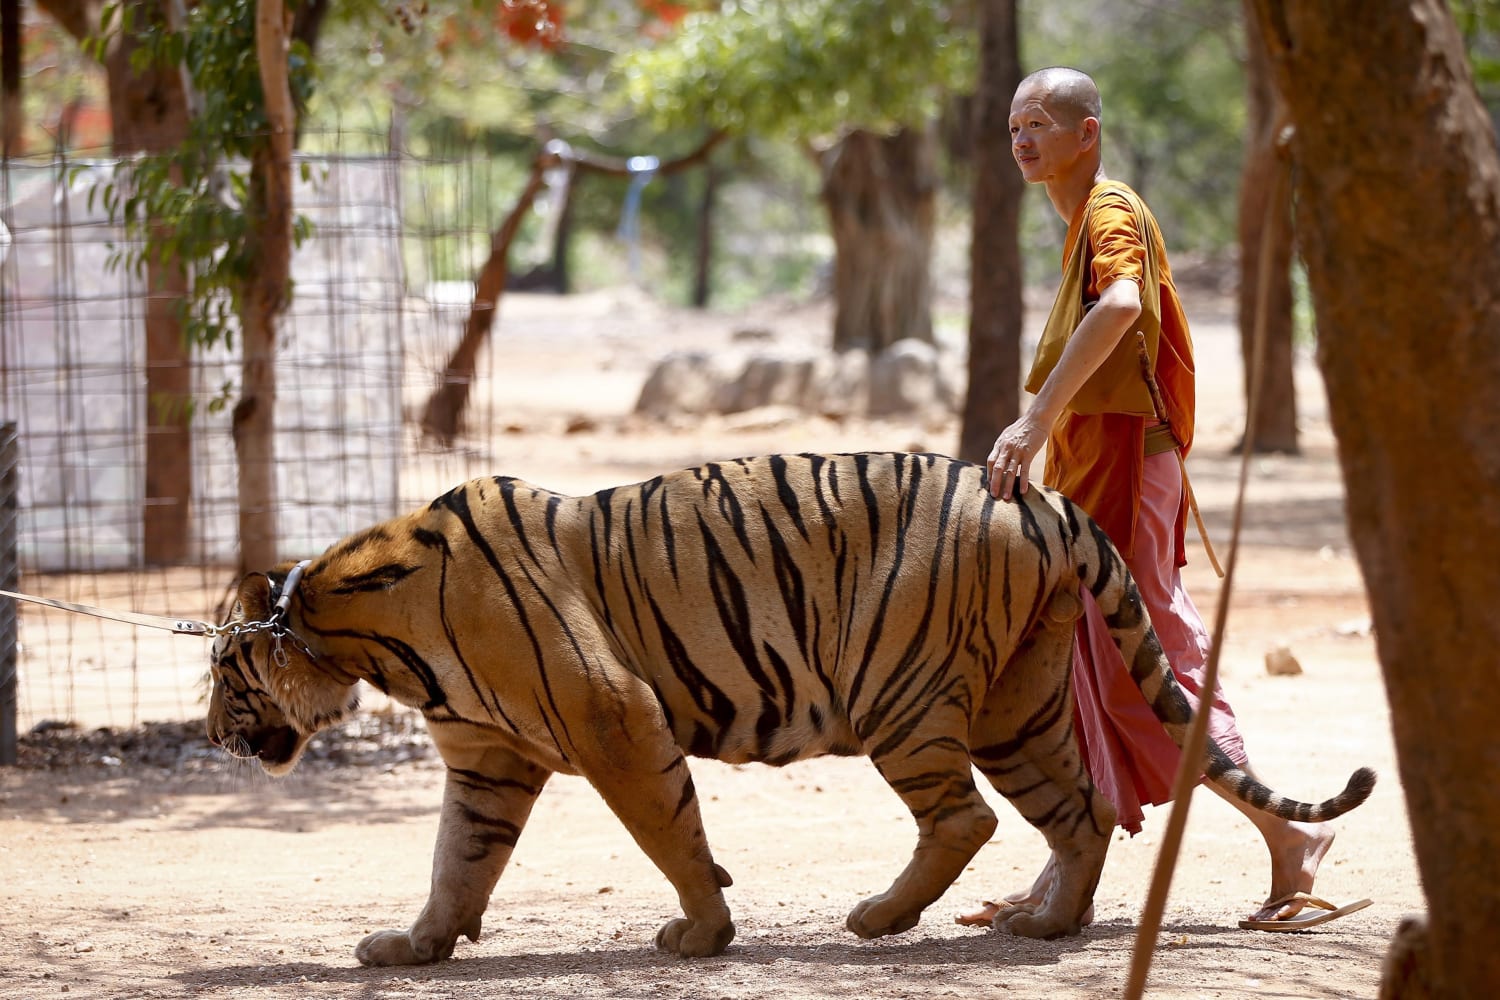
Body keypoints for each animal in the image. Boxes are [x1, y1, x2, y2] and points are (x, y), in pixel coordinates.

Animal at [205, 449, 1374, 965]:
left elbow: (671, 832)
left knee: (965, 817)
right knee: (1080, 808)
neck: (363, 631)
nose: (214, 734)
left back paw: (883, 918)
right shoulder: (487, 759)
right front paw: (415, 945)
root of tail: (1032, 493)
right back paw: (1048, 923)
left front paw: (702, 931)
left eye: (221, 671)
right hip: (1021, 701)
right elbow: (458, 859)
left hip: (899, 690)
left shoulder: (615, 716)